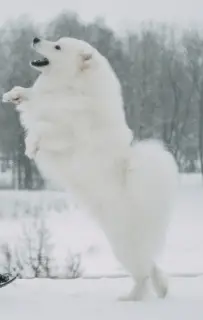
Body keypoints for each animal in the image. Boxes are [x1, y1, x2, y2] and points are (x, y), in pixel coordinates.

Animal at [2, 37, 178, 300]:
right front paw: (13, 94)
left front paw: (31, 147)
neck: (70, 87)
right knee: (150, 266)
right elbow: (31, 98)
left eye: (57, 47)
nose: (35, 38)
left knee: (142, 274)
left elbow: (42, 129)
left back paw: (131, 299)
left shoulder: (65, 133)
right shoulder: (43, 104)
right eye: (55, 40)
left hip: (122, 246)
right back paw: (162, 288)